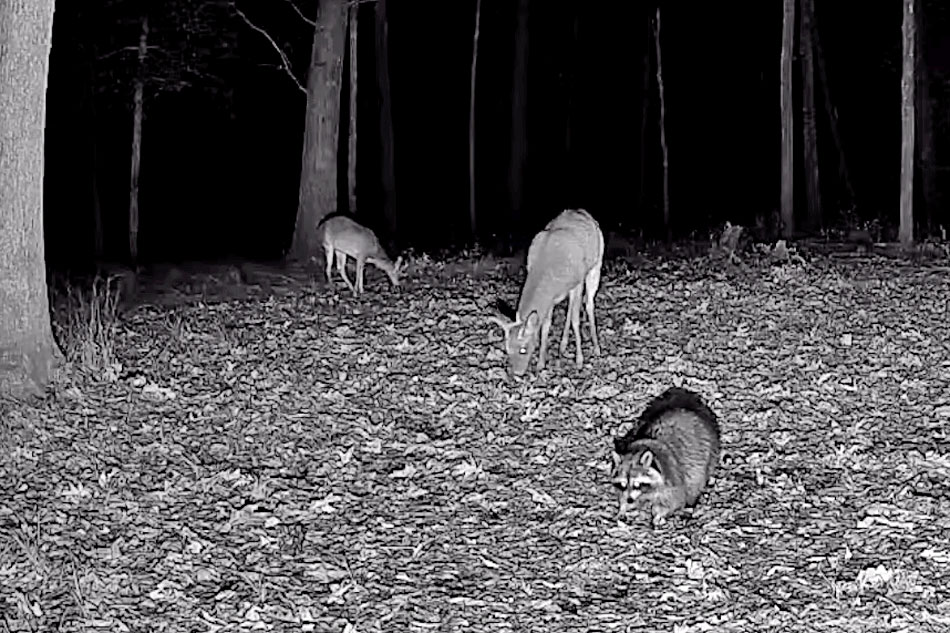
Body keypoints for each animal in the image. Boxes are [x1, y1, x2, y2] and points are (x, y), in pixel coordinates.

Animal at [494, 207, 608, 376]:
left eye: (523, 349)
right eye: (507, 349)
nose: (517, 373)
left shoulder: (578, 282)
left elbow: (576, 320)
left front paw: (579, 361)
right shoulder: (551, 297)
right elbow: (546, 324)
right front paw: (541, 364)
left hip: (596, 265)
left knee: (588, 303)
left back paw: (596, 347)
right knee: (571, 308)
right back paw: (563, 345)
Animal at [608, 386, 720, 524]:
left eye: (637, 484)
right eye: (623, 484)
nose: (629, 500)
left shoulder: (671, 481)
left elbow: (674, 500)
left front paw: (658, 514)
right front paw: (623, 508)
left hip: (708, 455)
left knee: (695, 480)